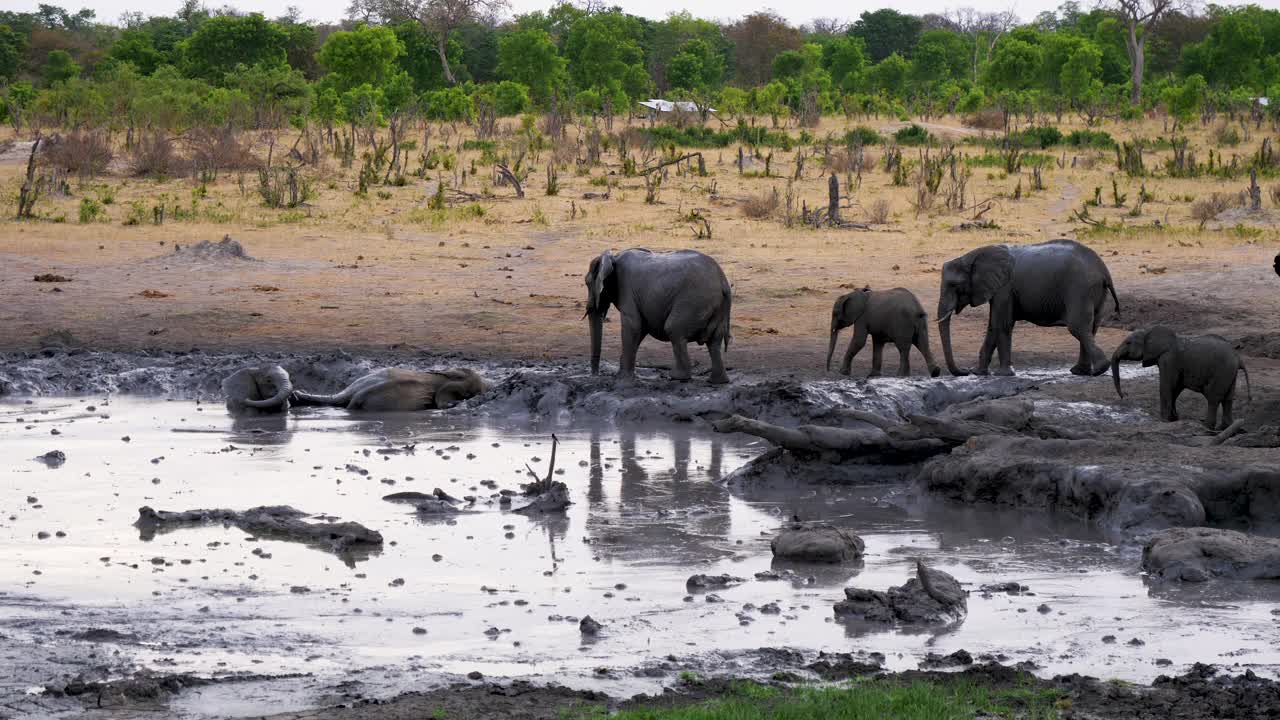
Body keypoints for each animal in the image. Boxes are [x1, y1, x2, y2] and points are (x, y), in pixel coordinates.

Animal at [586, 245, 737, 381]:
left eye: (587, 283)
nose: (595, 375)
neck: (613, 258)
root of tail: (724, 282)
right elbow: (640, 329)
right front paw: (621, 375)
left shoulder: (626, 289)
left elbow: (633, 326)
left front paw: (623, 378)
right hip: (717, 307)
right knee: (714, 342)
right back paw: (718, 381)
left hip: (694, 301)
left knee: (673, 329)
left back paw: (676, 377)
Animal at [931, 239, 1121, 376]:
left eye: (954, 286)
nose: (965, 371)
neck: (972, 256)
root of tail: (1104, 271)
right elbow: (993, 326)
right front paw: (980, 373)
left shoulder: (1004, 288)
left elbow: (1002, 324)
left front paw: (1004, 374)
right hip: (1094, 291)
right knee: (1091, 327)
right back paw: (1080, 372)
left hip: (1080, 289)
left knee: (1078, 327)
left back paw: (1100, 369)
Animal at [1111, 326, 1249, 430]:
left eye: (1128, 343)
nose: (1124, 396)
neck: (1149, 331)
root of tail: (1238, 357)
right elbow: (1176, 388)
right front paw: (1173, 419)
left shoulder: (1169, 359)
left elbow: (1167, 385)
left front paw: (1164, 421)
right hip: (1230, 372)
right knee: (1228, 398)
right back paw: (1224, 428)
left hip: (1223, 371)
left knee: (1213, 397)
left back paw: (1206, 426)